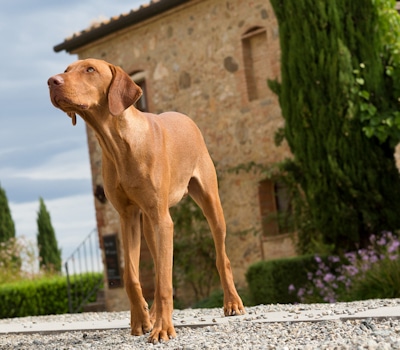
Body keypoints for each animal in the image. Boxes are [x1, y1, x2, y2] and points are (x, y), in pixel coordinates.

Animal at [48, 58, 245, 344]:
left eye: (90, 70)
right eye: (66, 70)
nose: (51, 81)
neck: (118, 144)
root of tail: (185, 117)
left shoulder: (163, 219)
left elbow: (163, 281)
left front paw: (162, 328)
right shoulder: (127, 217)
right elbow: (131, 275)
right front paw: (141, 320)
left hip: (208, 204)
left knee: (221, 256)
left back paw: (231, 303)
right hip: (151, 225)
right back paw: (152, 313)